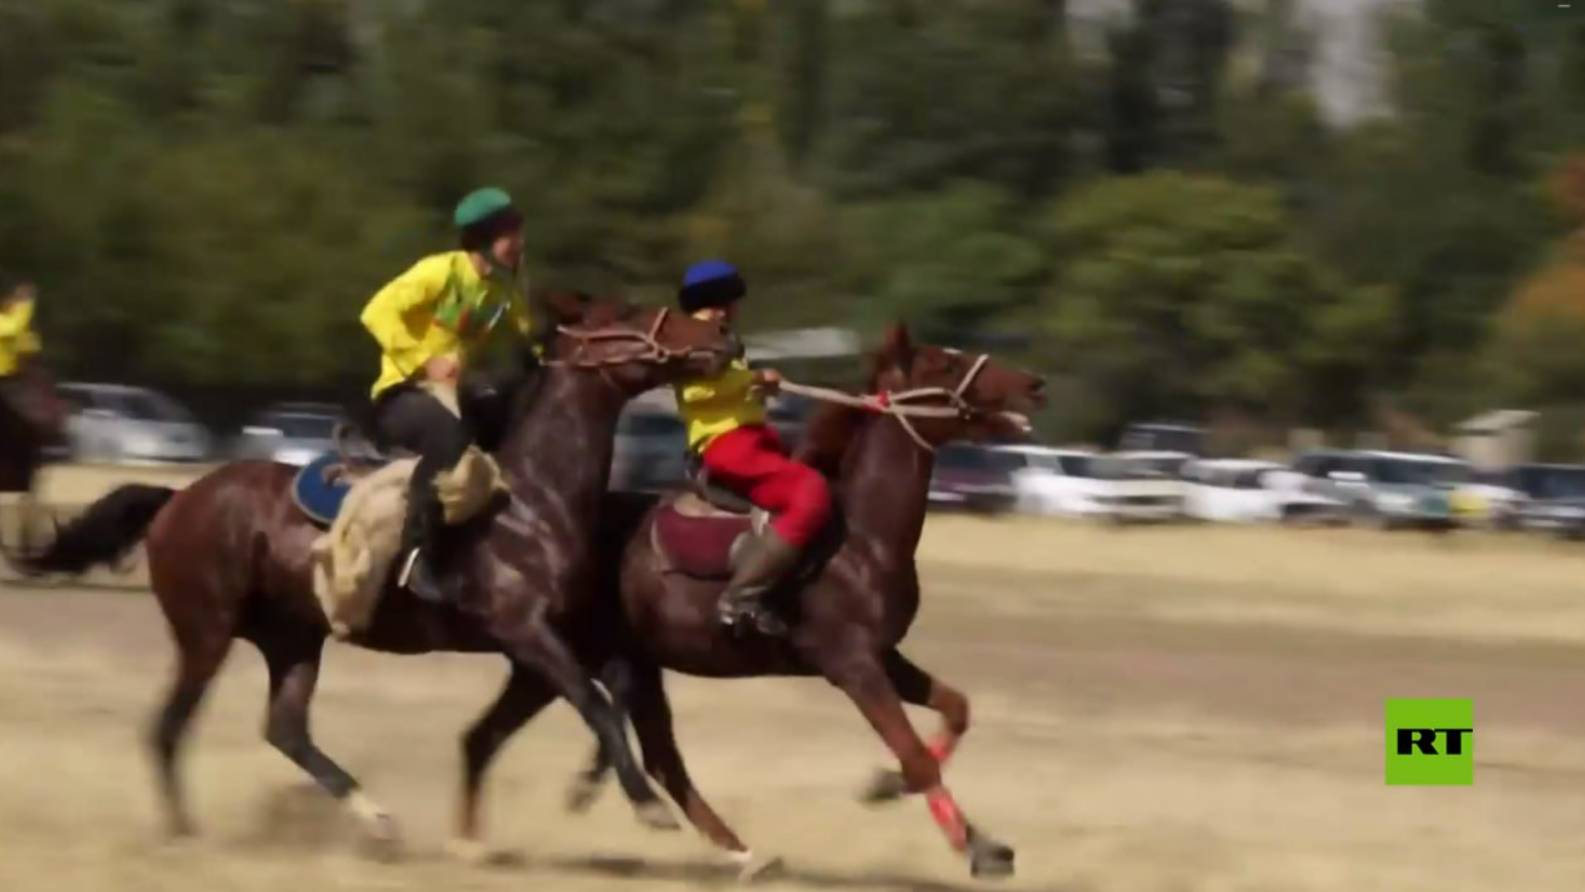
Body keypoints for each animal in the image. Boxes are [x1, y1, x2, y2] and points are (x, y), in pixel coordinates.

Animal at [18, 293, 735, 849]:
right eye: (631, 314)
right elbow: (596, 704)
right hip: (207, 634)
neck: (534, 498)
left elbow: (613, 696)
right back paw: (184, 832)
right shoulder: (525, 632)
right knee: (168, 728)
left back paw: (375, 816)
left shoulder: (563, 638)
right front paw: (648, 806)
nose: (719, 337)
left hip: (293, 640)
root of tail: (178, 500)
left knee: (285, 729)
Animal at [462, 326, 1046, 880]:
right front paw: (981, 850)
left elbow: (956, 711)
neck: (860, 538)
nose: (1034, 384)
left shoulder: (884, 656)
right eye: (943, 363)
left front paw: (886, 785)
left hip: (603, 663)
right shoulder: (851, 664)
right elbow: (916, 754)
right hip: (558, 658)